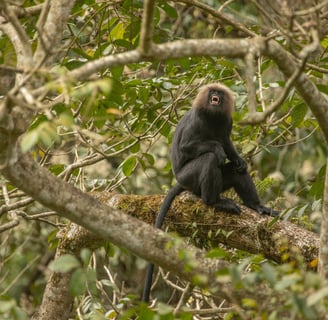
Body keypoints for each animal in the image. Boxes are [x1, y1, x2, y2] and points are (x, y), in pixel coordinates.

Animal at [142, 82, 278, 302]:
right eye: (212, 92)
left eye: (219, 93)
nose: (215, 95)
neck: (213, 116)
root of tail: (182, 182)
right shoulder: (197, 119)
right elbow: (189, 146)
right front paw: (217, 149)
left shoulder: (227, 121)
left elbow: (228, 145)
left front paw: (238, 158)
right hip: (188, 177)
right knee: (209, 158)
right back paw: (213, 201)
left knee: (237, 171)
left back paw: (256, 205)